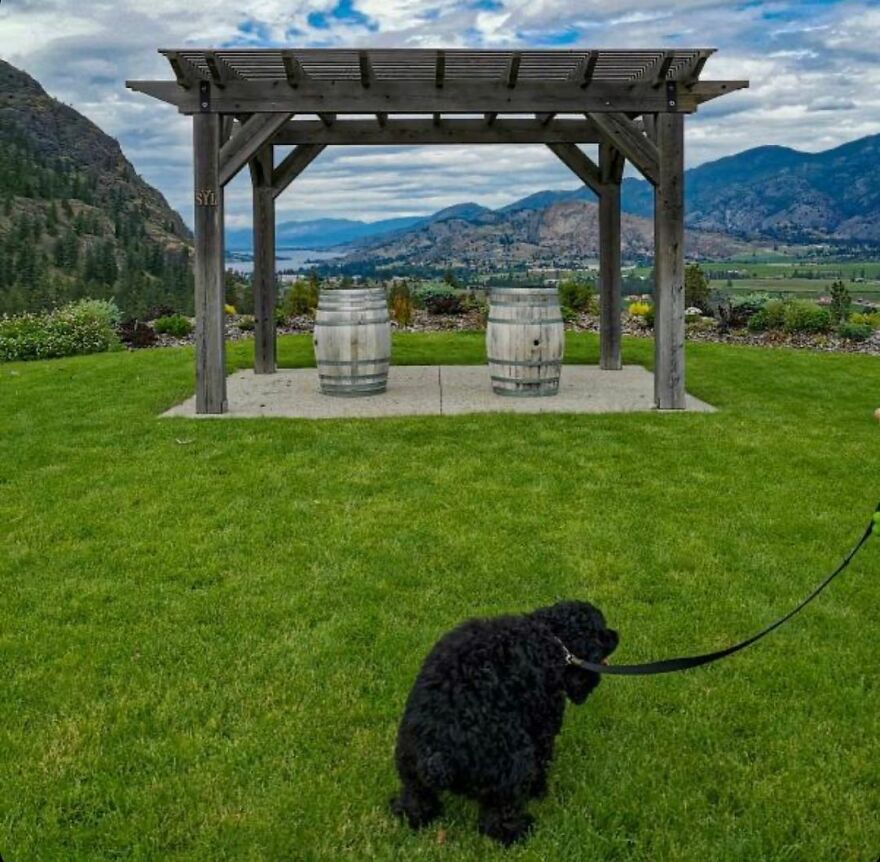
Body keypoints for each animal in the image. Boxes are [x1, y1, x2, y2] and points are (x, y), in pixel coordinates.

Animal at [392, 604, 620, 848]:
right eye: (601, 632)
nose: (616, 634)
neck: (550, 636)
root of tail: (438, 752)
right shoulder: (542, 727)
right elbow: (542, 761)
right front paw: (539, 792)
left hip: (410, 765)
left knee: (415, 798)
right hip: (513, 767)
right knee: (499, 815)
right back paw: (518, 831)